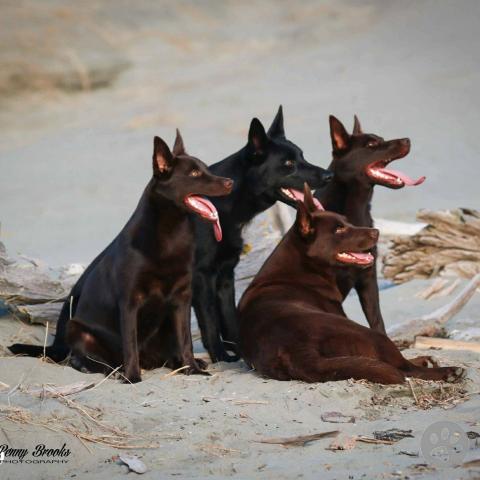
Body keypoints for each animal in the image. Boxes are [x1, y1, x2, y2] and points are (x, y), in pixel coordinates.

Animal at [8, 131, 232, 382]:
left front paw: (191, 368)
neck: (171, 235)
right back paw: (103, 369)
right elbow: (130, 345)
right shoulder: (129, 302)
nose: (230, 182)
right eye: (194, 173)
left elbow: (185, 341)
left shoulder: (181, 300)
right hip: (77, 329)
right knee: (83, 358)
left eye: (206, 169)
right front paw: (133, 377)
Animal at [189, 105, 332, 360]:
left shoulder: (225, 275)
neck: (226, 202)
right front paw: (221, 357)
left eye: (302, 156)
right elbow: (210, 322)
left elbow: (229, 319)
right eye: (288, 164)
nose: (329, 176)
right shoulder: (202, 277)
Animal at [240, 186, 464, 384]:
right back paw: (448, 371)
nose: (376, 231)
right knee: (405, 368)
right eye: (339, 229)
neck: (302, 266)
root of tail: (294, 349)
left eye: (346, 221)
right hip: (369, 334)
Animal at [316, 116, 424, 334]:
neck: (357, 207)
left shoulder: (368, 278)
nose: (407, 140)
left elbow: (377, 321)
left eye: (381, 139)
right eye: (372, 145)